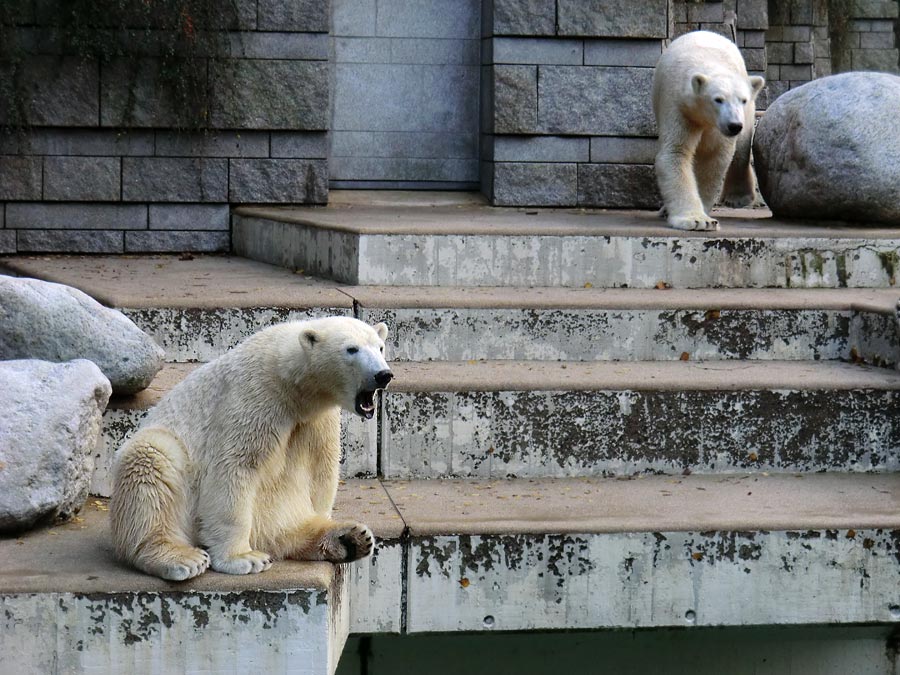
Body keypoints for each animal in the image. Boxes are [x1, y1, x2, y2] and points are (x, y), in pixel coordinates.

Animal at [110, 316, 392, 580]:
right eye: (352, 349)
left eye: (380, 347)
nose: (383, 374)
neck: (292, 385)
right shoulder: (255, 398)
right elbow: (236, 467)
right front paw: (242, 559)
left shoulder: (317, 420)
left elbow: (321, 473)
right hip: (168, 456)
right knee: (153, 463)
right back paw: (181, 558)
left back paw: (349, 538)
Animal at [652, 30, 768, 231]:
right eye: (718, 99)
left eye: (743, 99)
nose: (734, 125)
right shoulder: (678, 106)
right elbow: (676, 152)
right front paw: (697, 220)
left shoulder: (719, 127)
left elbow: (714, 157)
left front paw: (704, 217)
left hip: (748, 115)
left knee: (741, 148)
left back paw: (737, 198)